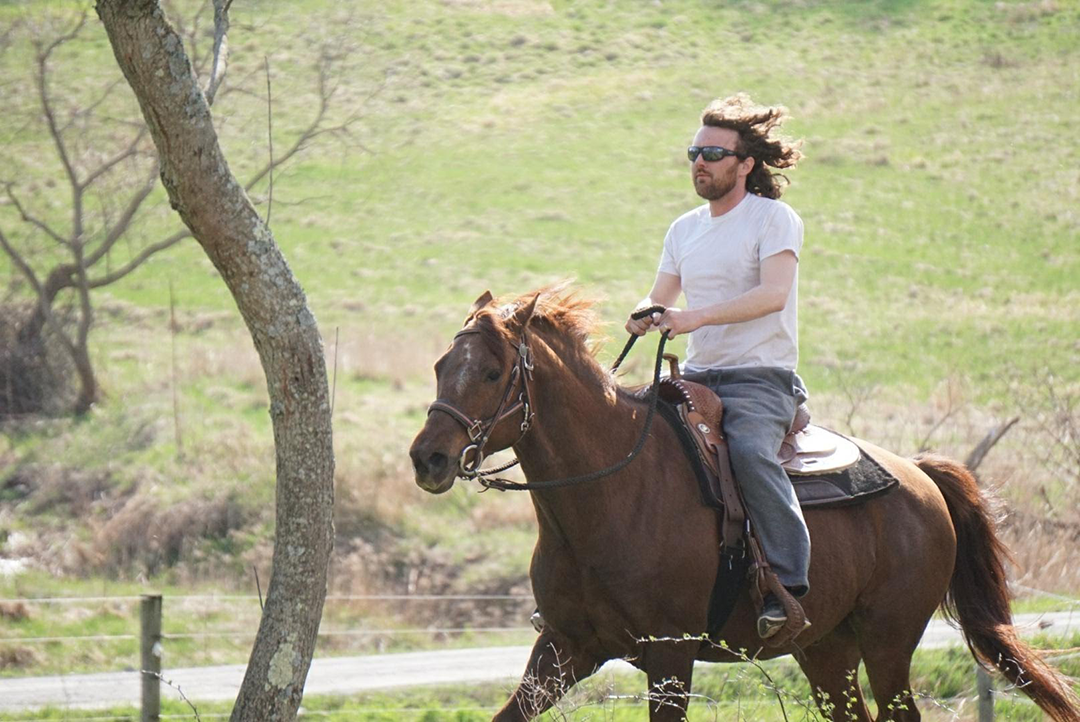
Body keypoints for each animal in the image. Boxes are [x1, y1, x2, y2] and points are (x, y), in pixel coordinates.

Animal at [408, 289, 1075, 720]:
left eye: (493, 372)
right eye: (440, 365)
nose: (427, 459)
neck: (609, 497)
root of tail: (921, 475)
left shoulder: (670, 658)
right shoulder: (563, 649)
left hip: (889, 642)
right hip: (826, 650)